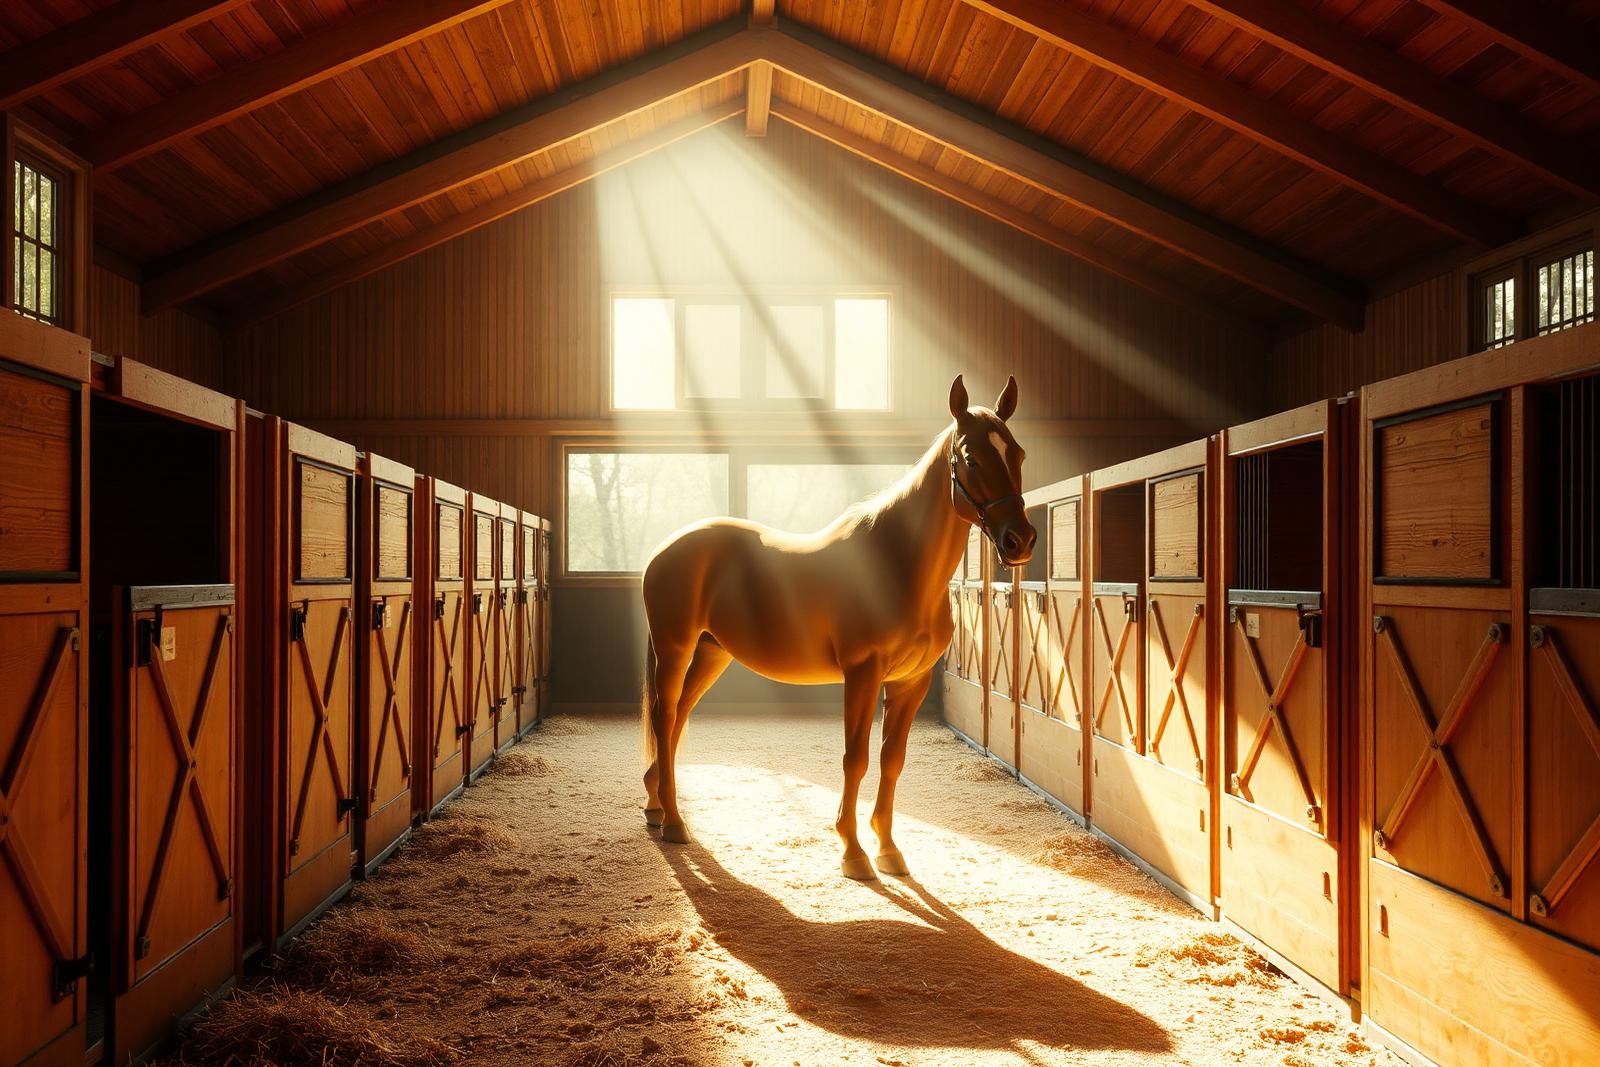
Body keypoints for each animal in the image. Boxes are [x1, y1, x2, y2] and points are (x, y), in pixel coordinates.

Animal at [640, 374, 1035, 880]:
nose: (1020, 540)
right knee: (665, 716)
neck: (897, 566)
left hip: (711, 652)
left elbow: (892, 760)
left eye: (1018, 454)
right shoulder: (862, 673)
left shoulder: (911, 681)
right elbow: (856, 759)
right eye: (970, 458)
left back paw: (656, 806)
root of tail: (665, 548)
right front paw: (853, 852)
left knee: (676, 718)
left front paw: (888, 848)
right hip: (676, 649)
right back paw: (674, 822)